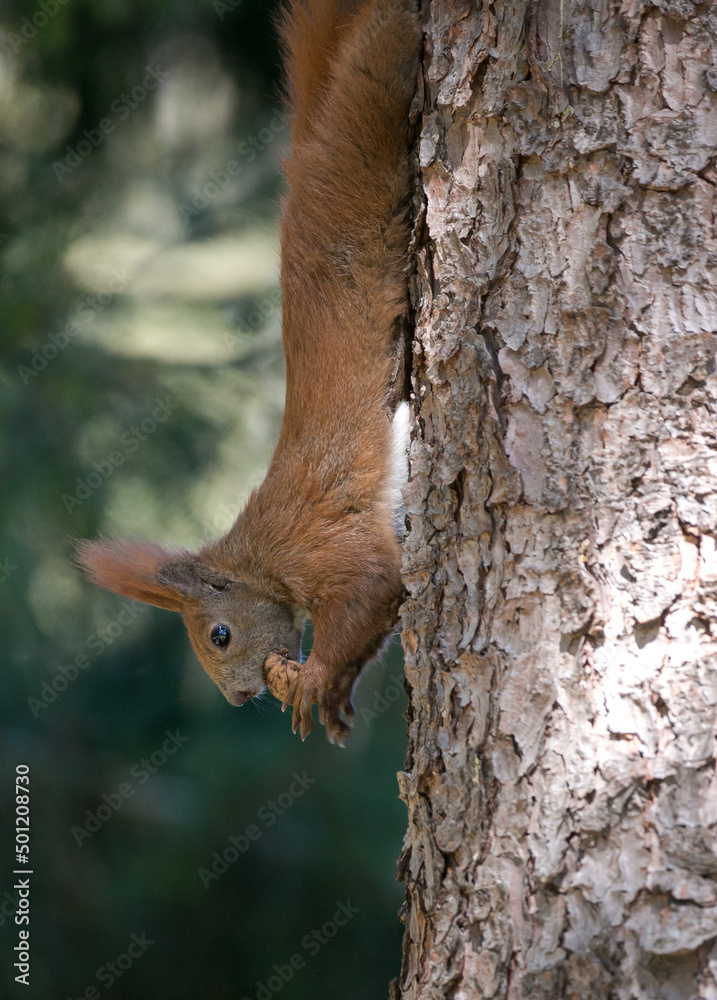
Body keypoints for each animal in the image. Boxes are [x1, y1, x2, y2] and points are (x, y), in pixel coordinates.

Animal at [74, 0, 420, 744]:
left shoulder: (321, 543)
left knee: (384, 56)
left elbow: (372, 588)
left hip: (375, 103)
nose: (238, 699)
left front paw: (316, 678)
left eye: (220, 635)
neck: (259, 559)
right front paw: (334, 688)